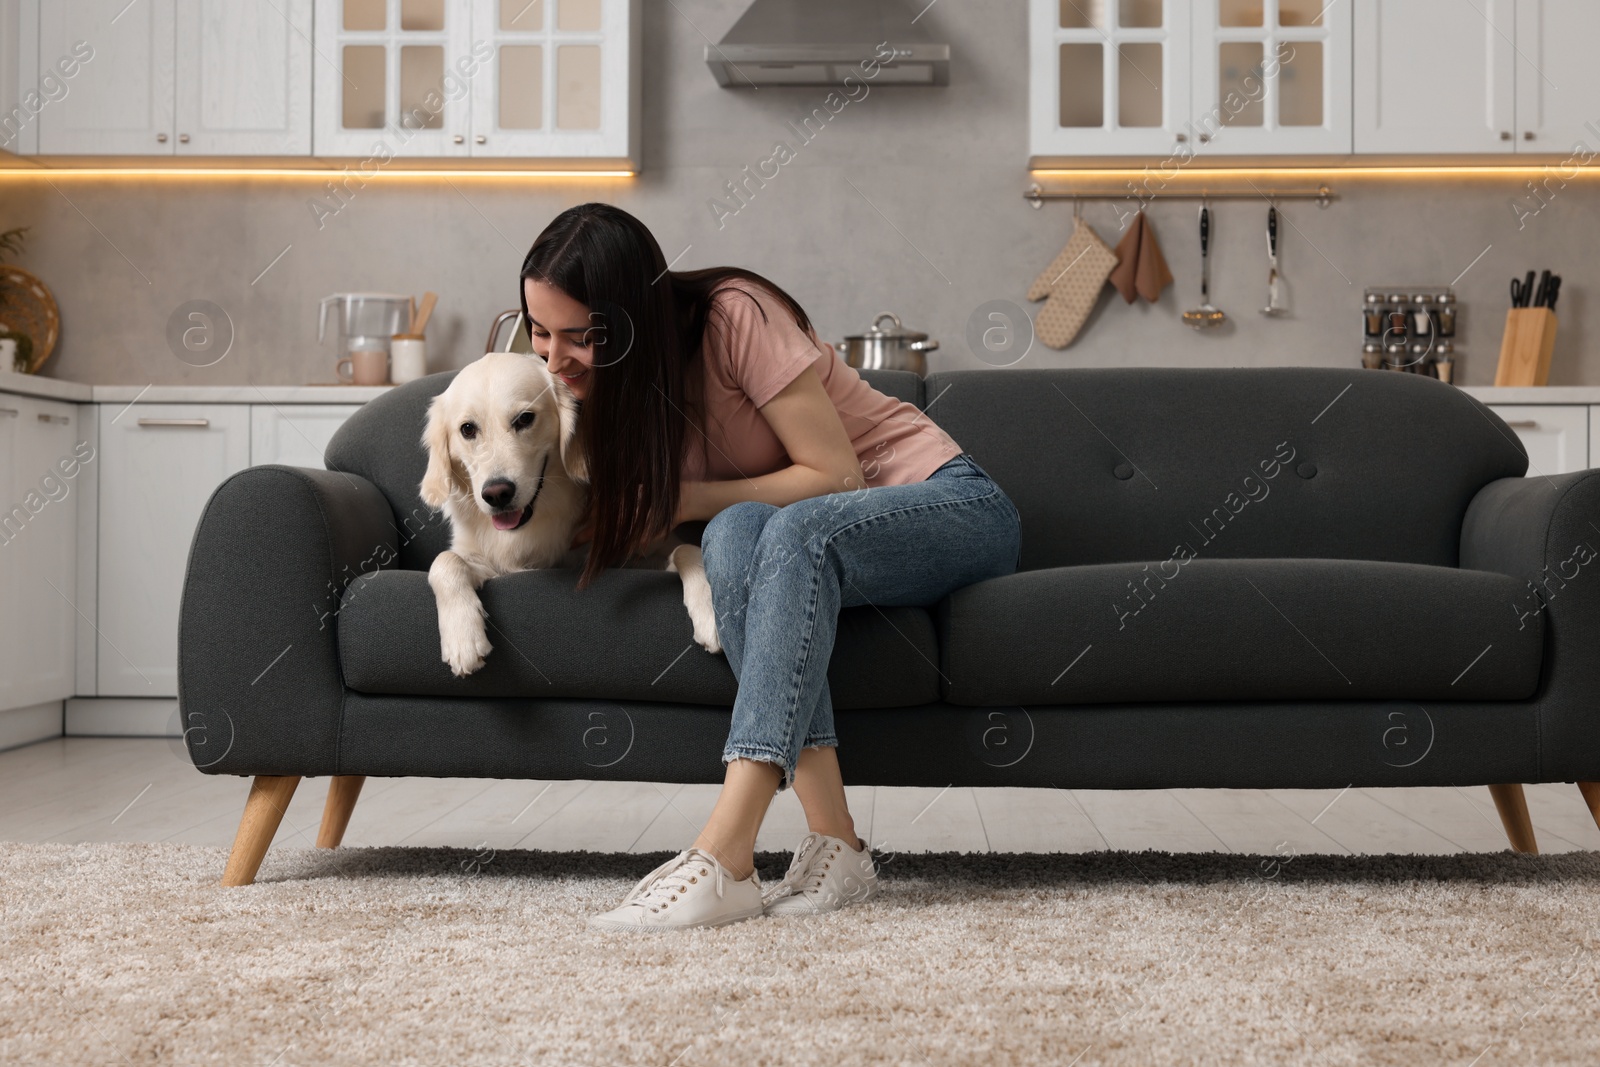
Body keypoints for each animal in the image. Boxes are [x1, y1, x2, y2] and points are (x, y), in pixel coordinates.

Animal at [419, 351, 720, 675]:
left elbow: (687, 549)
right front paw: (463, 638)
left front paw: (711, 611)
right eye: (467, 429)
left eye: (525, 419)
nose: (497, 494)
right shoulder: (485, 561)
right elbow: (445, 561)